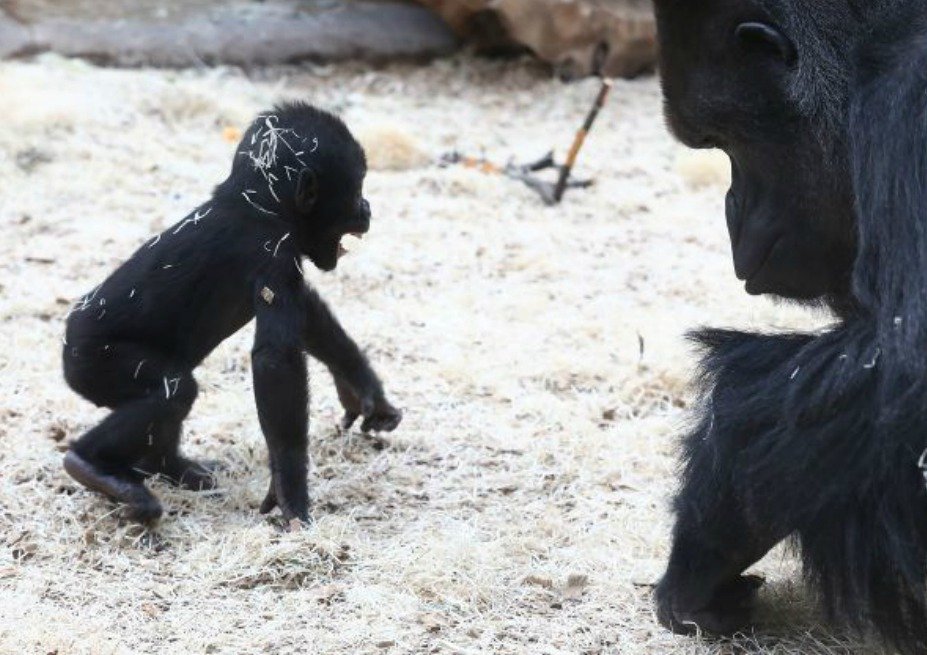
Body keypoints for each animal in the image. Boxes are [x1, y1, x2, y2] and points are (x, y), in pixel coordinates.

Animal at [61, 102, 402, 524]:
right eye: (355, 190)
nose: (367, 207)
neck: (258, 205)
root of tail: (66, 343)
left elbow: (308, 316)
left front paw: (358, 384)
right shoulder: (275, 254)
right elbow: (276, 362)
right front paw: (290, 489)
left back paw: (167, 468)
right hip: (93, 362)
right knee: (172, 390)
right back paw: (91, 465)